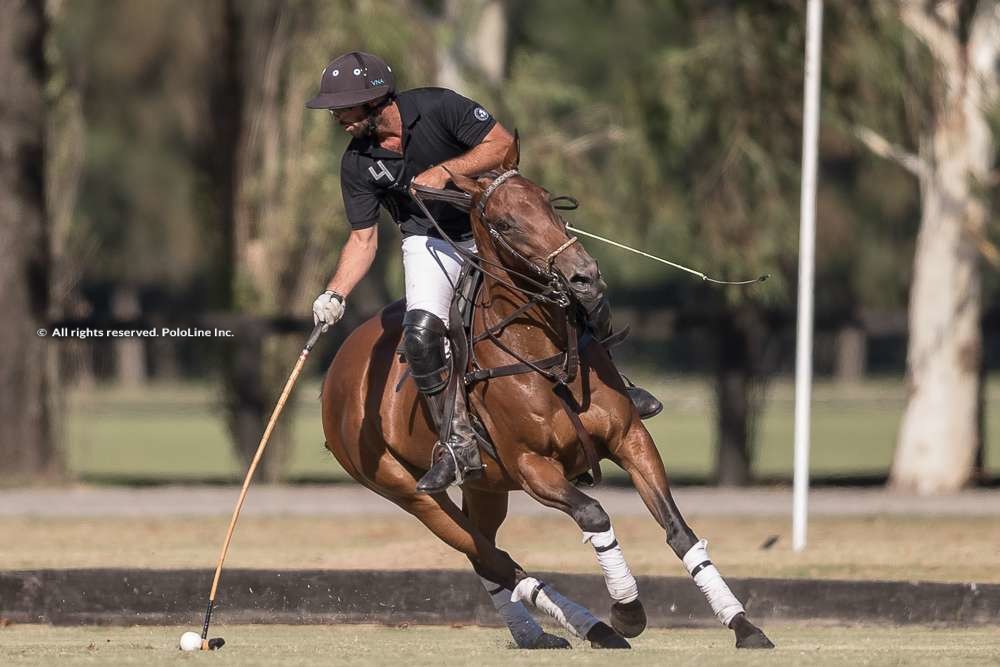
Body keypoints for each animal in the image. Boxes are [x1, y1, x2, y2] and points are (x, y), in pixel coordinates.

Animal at [320, 138, 772, 648]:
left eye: (551, 204)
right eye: (505, 223)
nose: (585, 278)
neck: (545, 353)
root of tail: (339, 367)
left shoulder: (631, 438)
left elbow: (679, 531)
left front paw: (743, 624)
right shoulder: (533, 466)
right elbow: (594, 514)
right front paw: (627, 611)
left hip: (486, 485)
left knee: (484, 553)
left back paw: (542, 634)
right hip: (405, 489)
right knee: (493, 558)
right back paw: (594, 626)